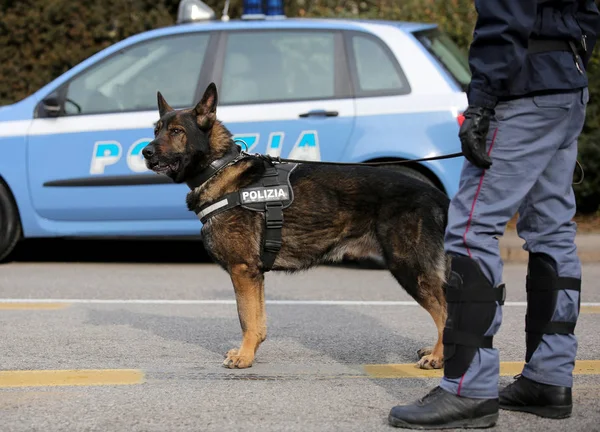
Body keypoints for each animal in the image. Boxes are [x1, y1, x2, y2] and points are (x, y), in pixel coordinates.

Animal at [142, 82, 450, 370]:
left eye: (177, 131)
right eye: (156, 130)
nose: (145, 152)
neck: (218, 167)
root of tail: (436, 194)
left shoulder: (242, 271)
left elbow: (246, 318)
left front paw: (244, 356)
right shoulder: (254, 275)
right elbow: (258, 321)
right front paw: (250, 351)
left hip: (409, 267)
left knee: (445, 312)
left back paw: (438, 356)